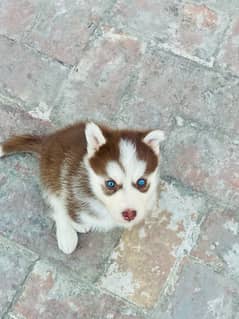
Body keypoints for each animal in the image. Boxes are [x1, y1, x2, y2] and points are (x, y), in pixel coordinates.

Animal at [0, 122, 164, 255]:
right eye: (110, 184)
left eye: (141, 182)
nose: (129, 214)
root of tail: (47, 141)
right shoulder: (71, 184)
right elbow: (67, 208)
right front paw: (75, 223)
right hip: (52, 172)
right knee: (55, 200)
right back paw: (68, 234)